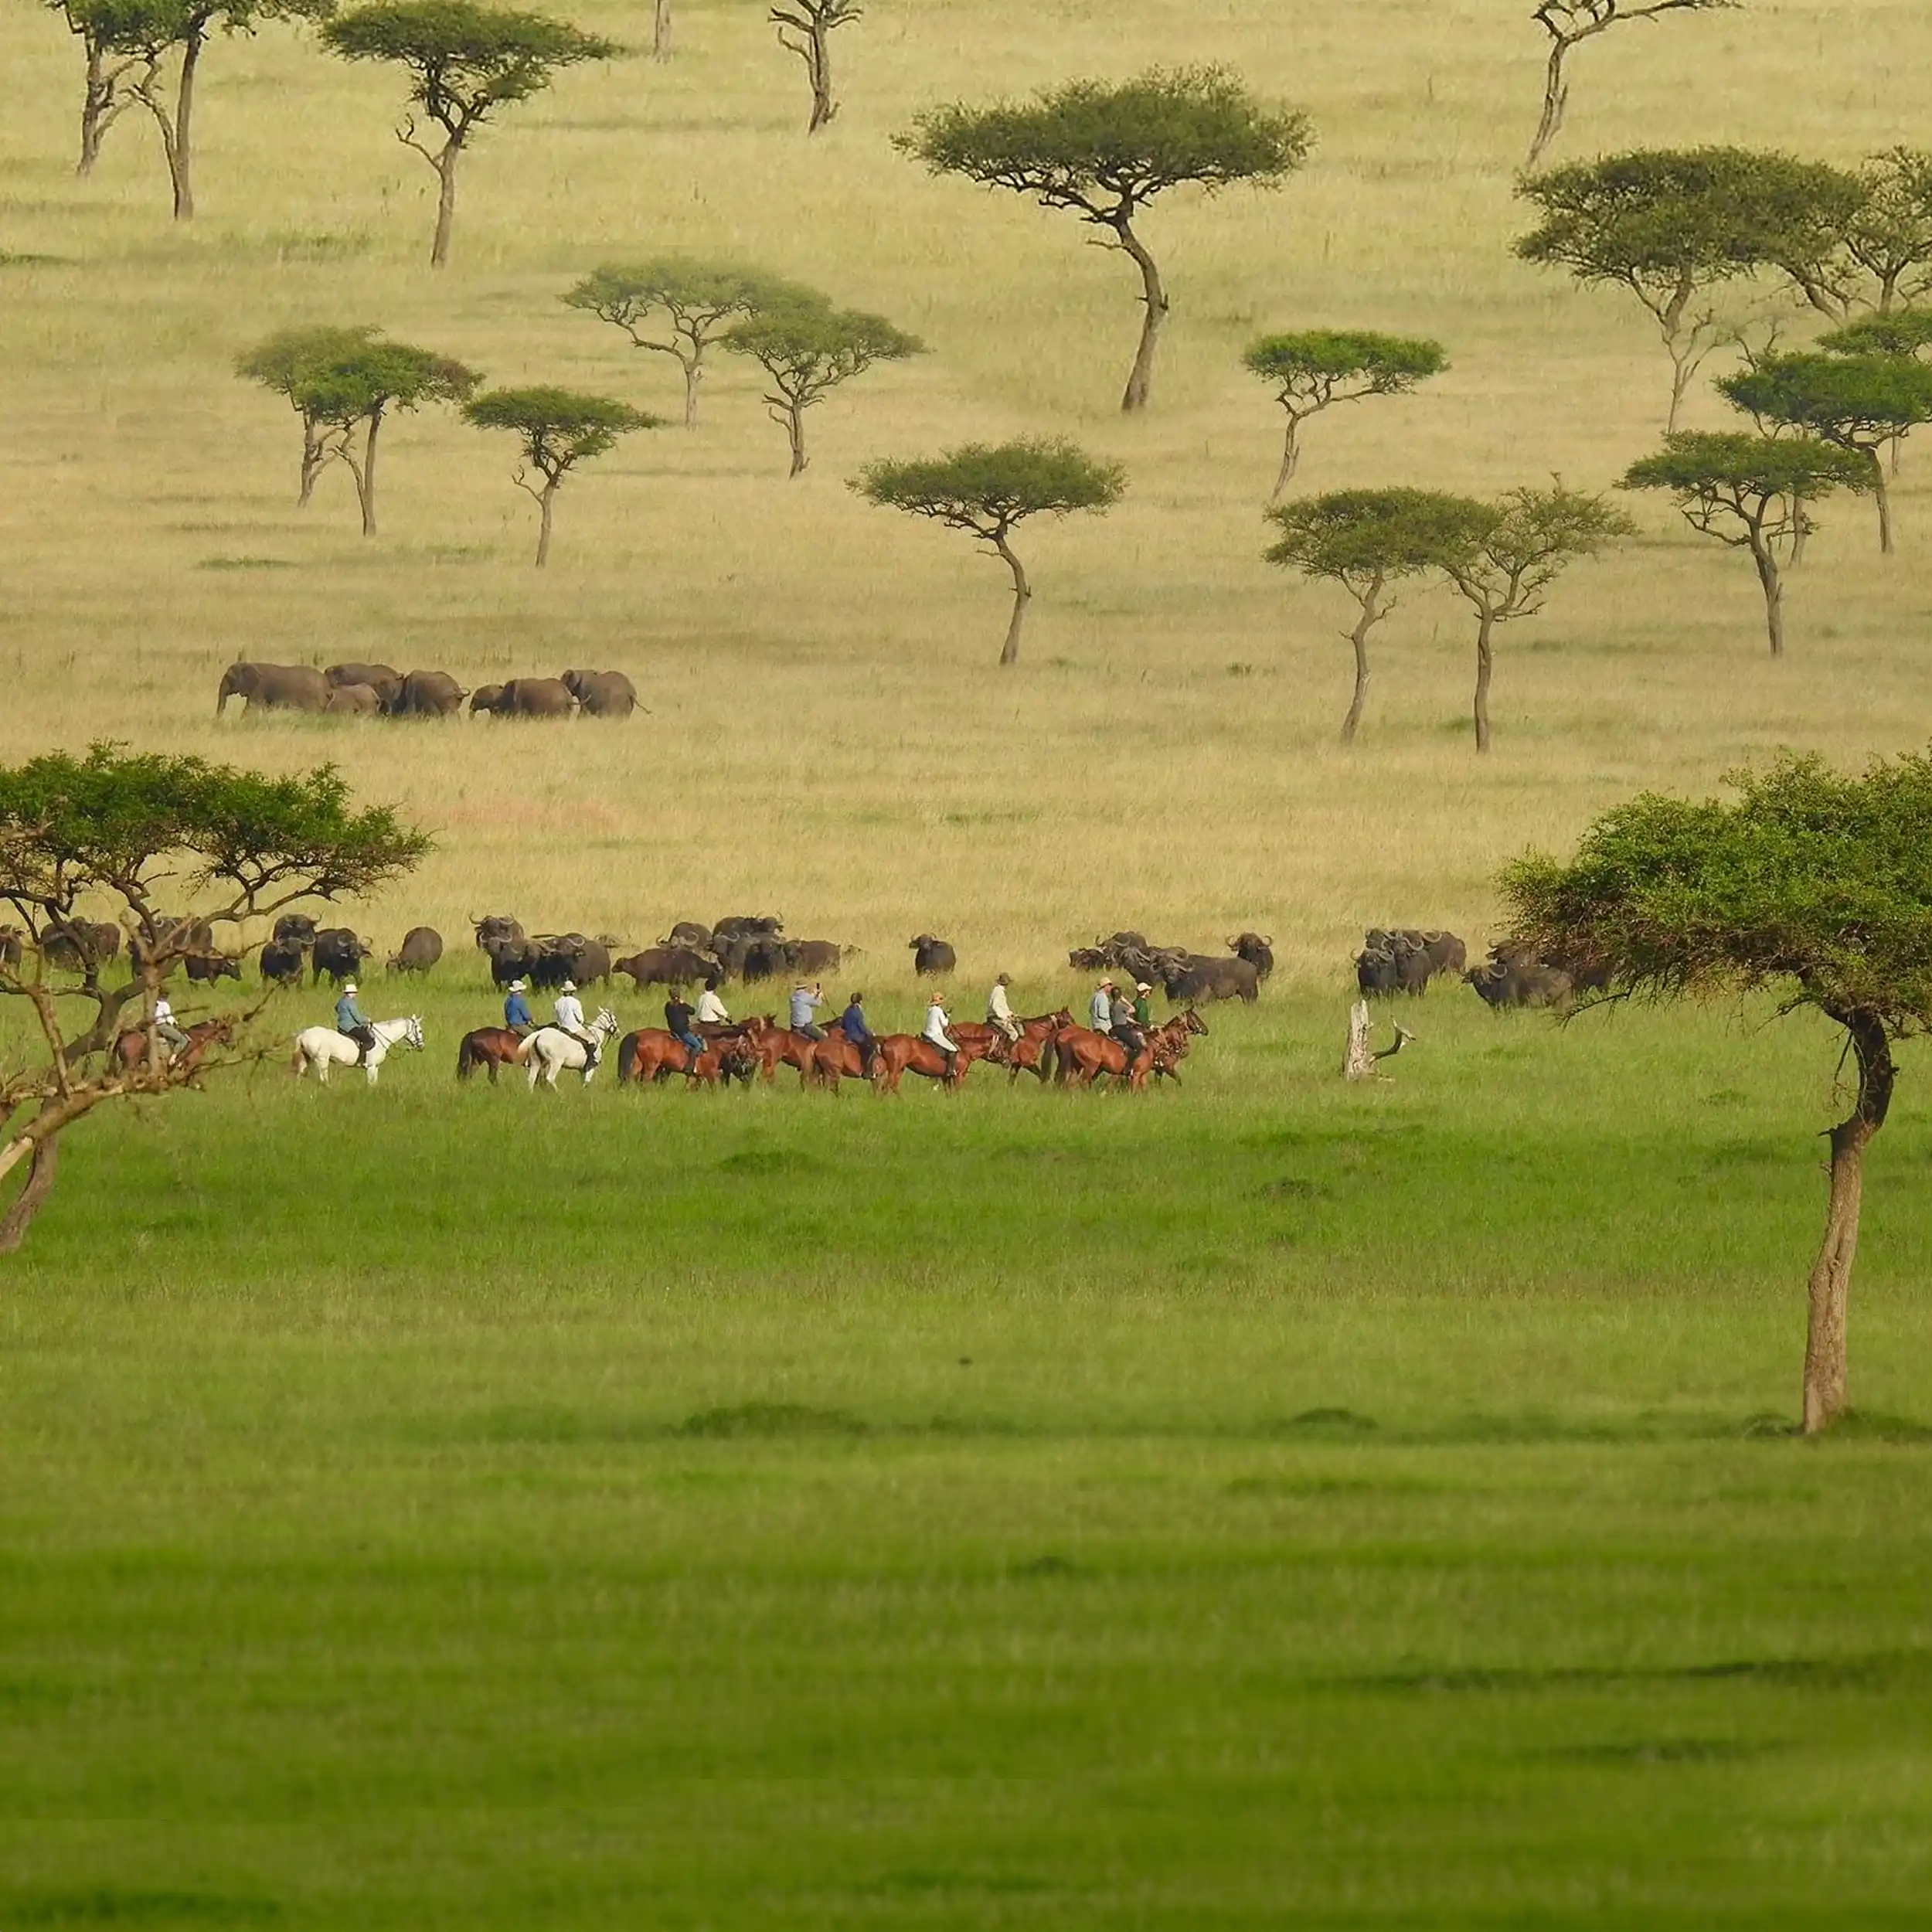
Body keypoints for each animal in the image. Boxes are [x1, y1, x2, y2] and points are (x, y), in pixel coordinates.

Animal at [287, 1012, 425, 1090]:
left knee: (300, 1075)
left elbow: (374, 1083)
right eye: (419, 1030)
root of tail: (304, 1034)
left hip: (306, 1058)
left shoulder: (376, 1067)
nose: (422, 1047)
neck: (381, 1038)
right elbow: (370, 1084)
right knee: (323, 1078)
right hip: (322, 1060)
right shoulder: (371, 1067)